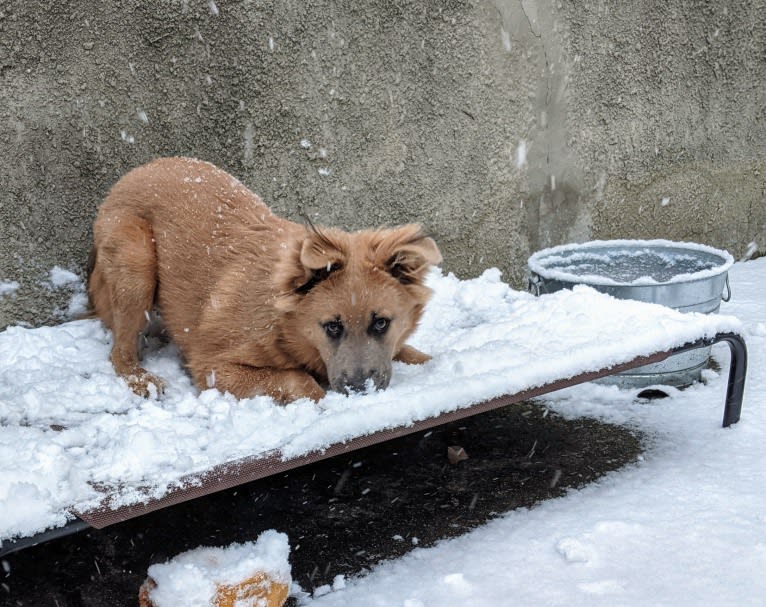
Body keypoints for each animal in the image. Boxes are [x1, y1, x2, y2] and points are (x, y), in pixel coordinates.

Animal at [86, 158, 440, 404]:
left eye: (381, 323)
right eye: (332, 327)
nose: (359, 389)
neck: (285, 325)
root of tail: (132, 174)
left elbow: (408, 351)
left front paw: (427, 360)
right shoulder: (214, 367)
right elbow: (299, 380)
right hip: (136, 263)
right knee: (119, 352)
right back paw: (139, 378)